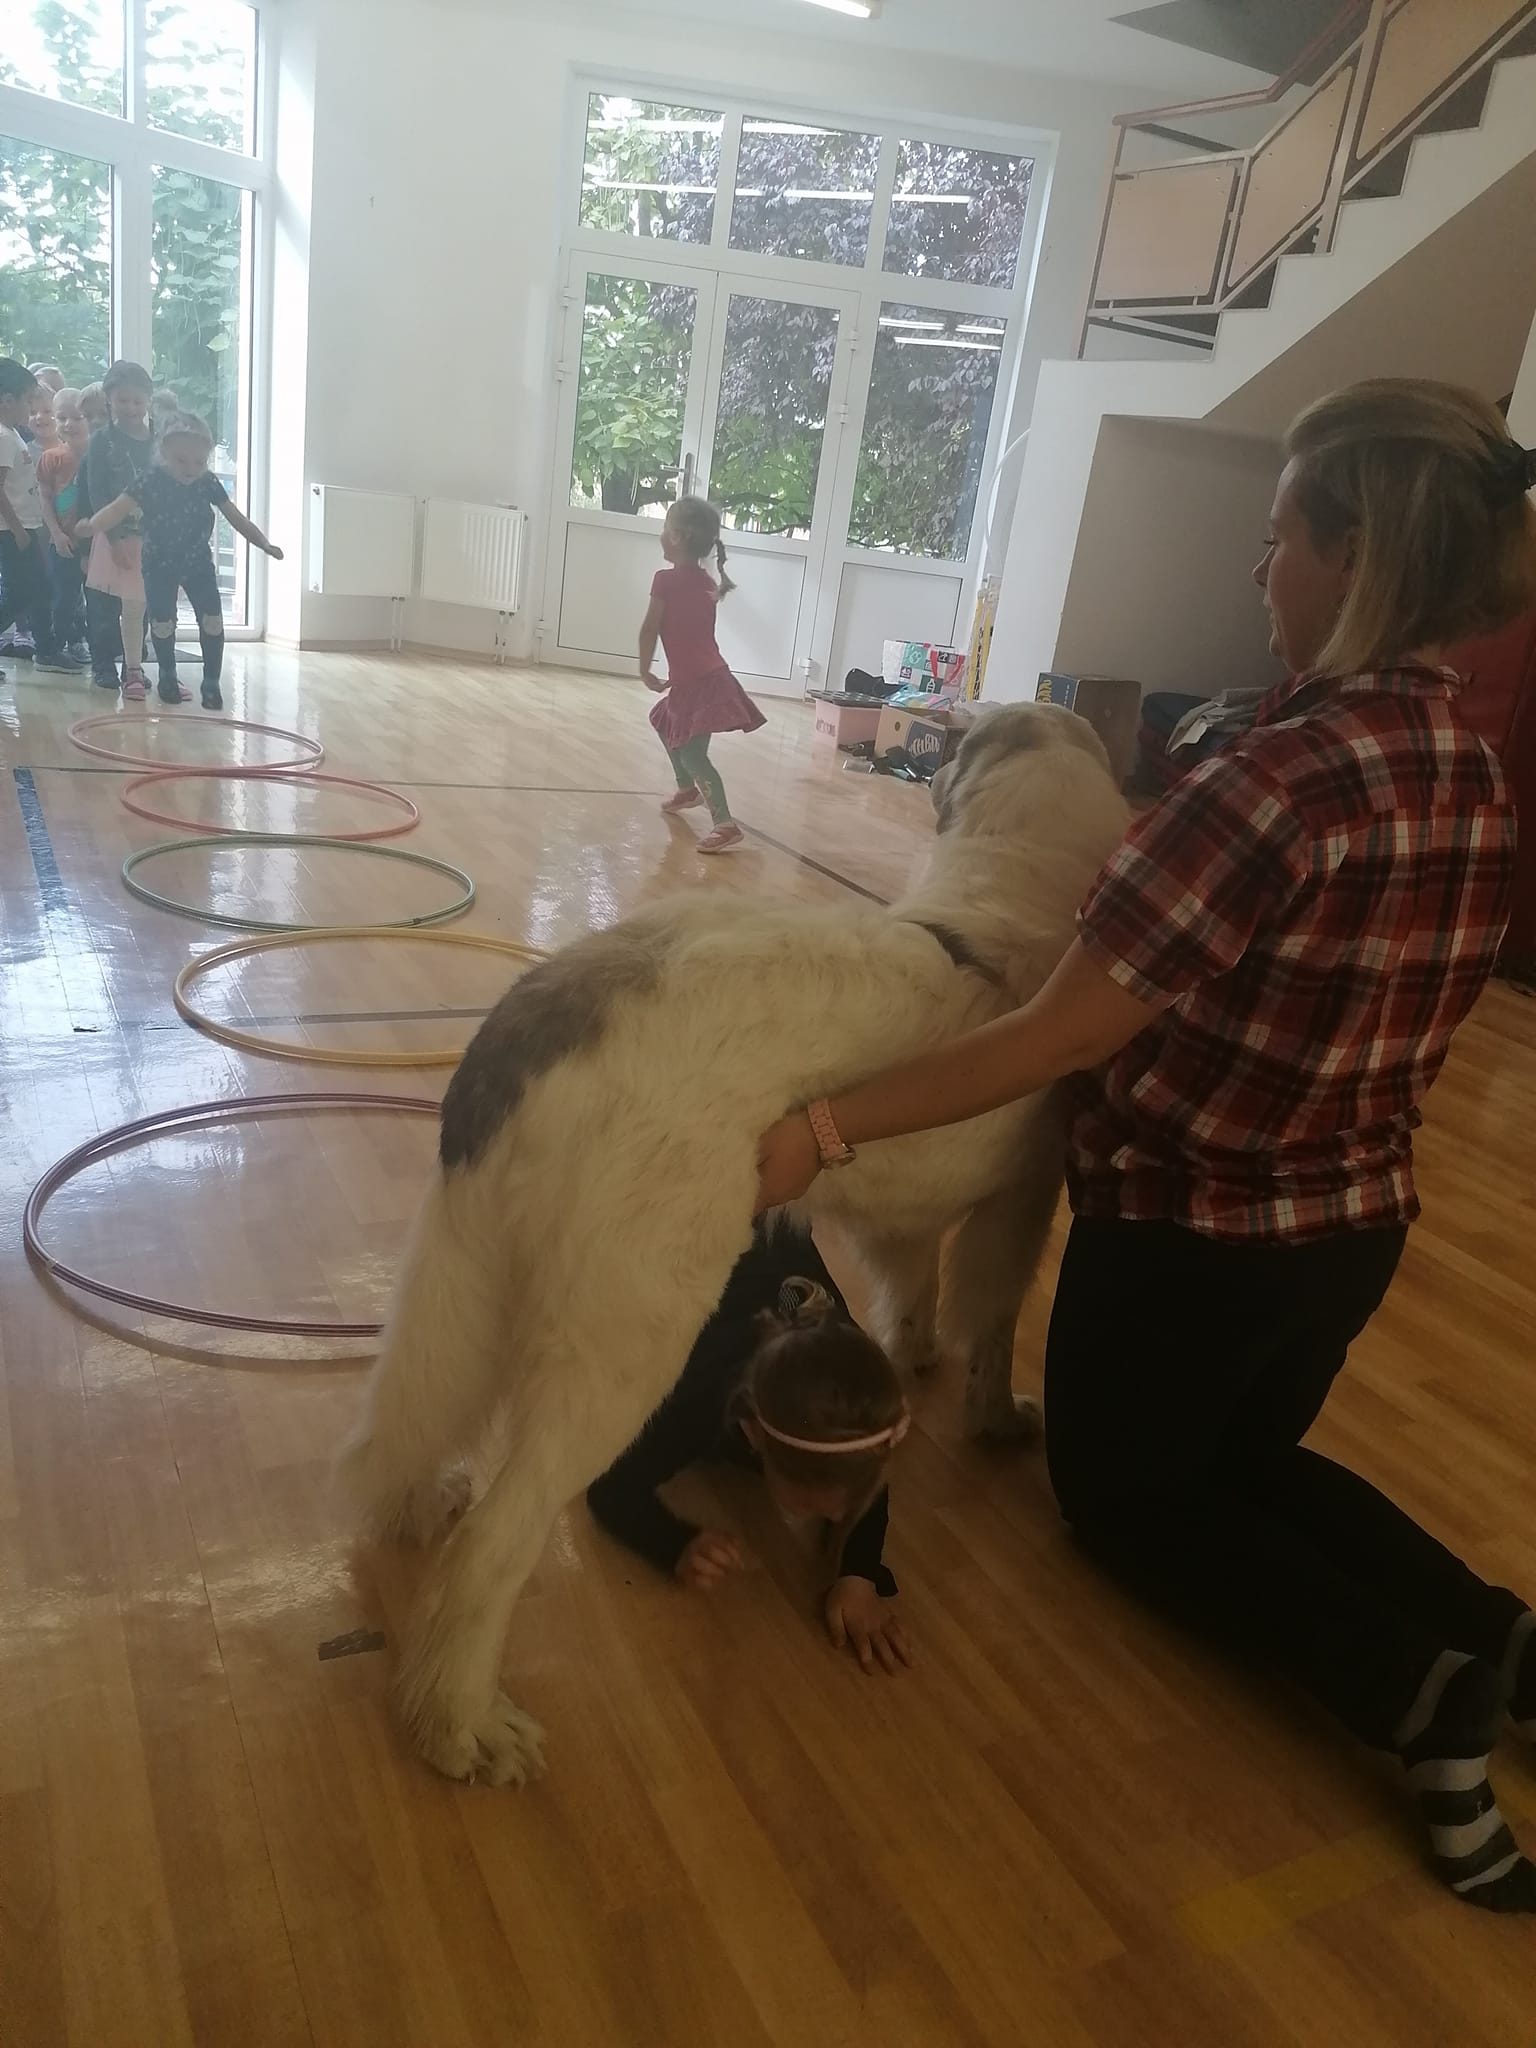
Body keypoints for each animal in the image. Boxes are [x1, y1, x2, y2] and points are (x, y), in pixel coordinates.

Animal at [341, 702, 1130, 1784]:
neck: (1011, 882)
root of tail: (555, 1004)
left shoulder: (906, 1215)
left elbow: (914, 1281)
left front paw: (915, 1351)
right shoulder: (1023, 1194)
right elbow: (997, 1315)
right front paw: (997, 1414)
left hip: (460, 1273)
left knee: (402, 1415)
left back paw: (414, 1503)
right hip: (627, 1345)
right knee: (502, 1540)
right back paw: (461, 1722)